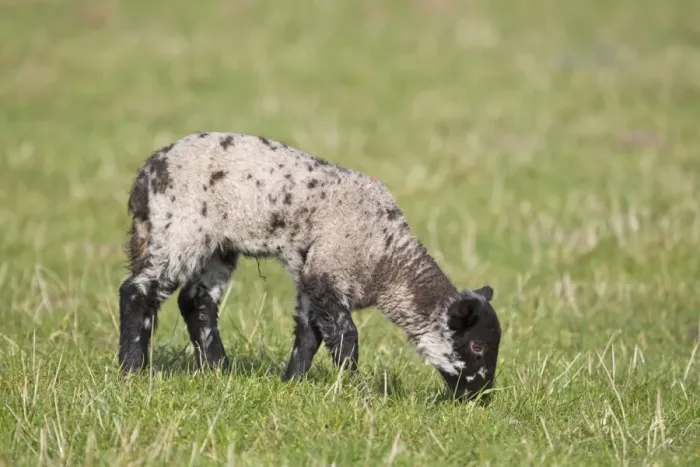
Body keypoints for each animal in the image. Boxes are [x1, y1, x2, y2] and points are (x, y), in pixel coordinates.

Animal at [118, 131, 502, 401]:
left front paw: (292, 382)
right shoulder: (328, 273)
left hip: (217, 246)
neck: (385, 258)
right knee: (136, 292)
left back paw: (219, 369)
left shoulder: (312, 277)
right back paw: (131, 368)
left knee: (197, 302)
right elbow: (346, 337)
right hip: (180, 230)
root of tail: (145, 175)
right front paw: (353, 388)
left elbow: (309, 333)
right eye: (477, 347)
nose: (481, 397)